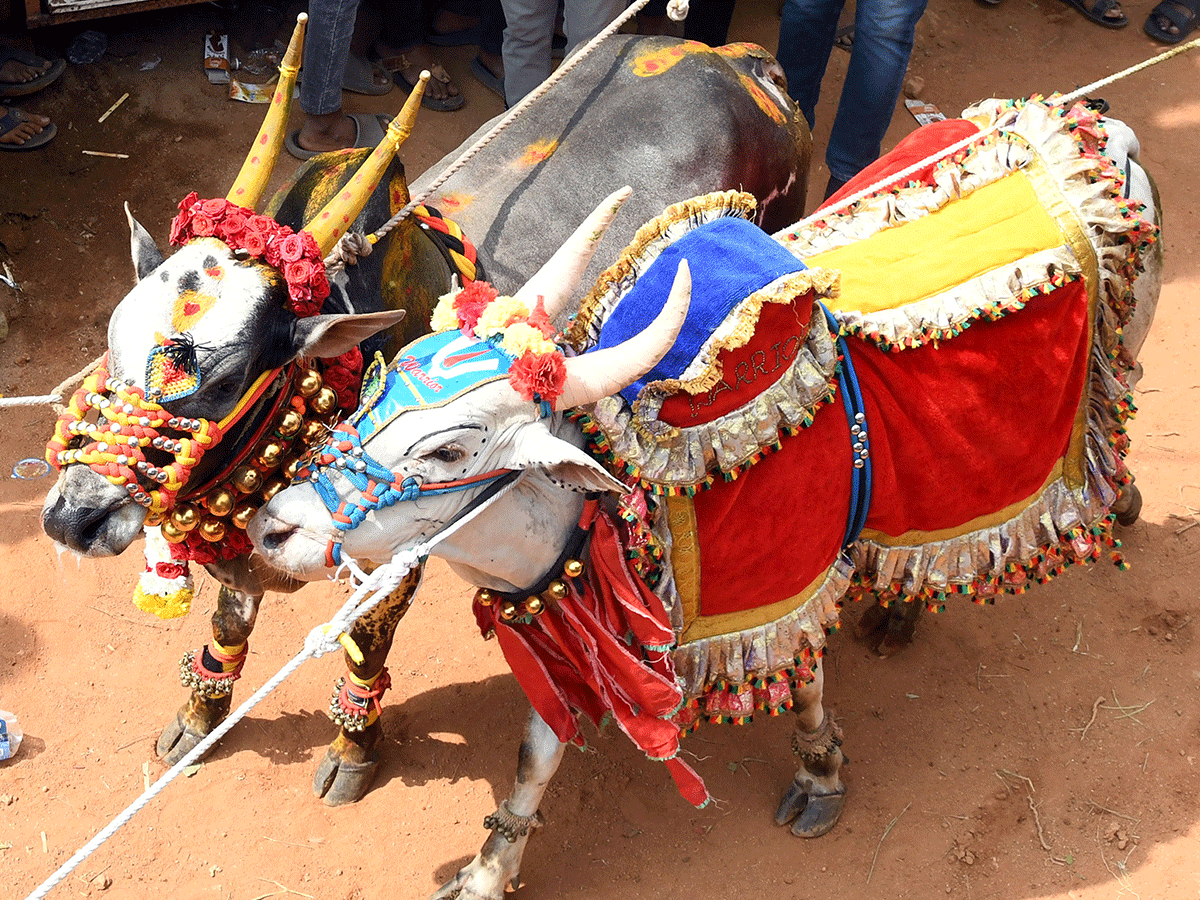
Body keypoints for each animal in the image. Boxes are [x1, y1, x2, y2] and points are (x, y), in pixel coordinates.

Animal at [39, 12, 806, 801]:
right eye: (112, 343)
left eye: (223, 381)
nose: (73, 518)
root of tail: (739, 60)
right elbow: (229, 623)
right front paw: (200, 714)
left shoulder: (397, 546)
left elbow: (365, 643)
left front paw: (352, 749)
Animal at [253, 98, 1161, 900]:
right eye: (378, 384)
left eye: (449, 447)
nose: (272, 527)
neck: (628, 507)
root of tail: (1094, 124)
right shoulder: (577, 629)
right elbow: (535, 757)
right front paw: (487, 870)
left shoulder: (783, 588)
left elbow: (805, 681)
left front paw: (821, 773)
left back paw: (1112, 507)